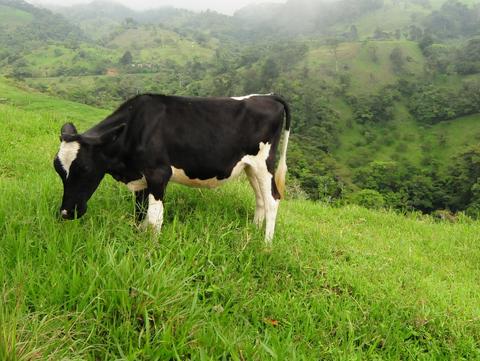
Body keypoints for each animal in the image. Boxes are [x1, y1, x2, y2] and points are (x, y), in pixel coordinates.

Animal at [54, 93, 290, 242]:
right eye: (58, 170)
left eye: (84, 168)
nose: (65, 213)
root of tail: (269, 96)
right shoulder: (141, 178)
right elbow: (140, 213)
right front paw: (137, 238)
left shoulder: (158, 174)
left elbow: (155, 218)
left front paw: (151, 248)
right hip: (251, 168)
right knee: (260, 199)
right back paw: (253, 232)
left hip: (264, 163)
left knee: (272, 200)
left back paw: (265, 245)